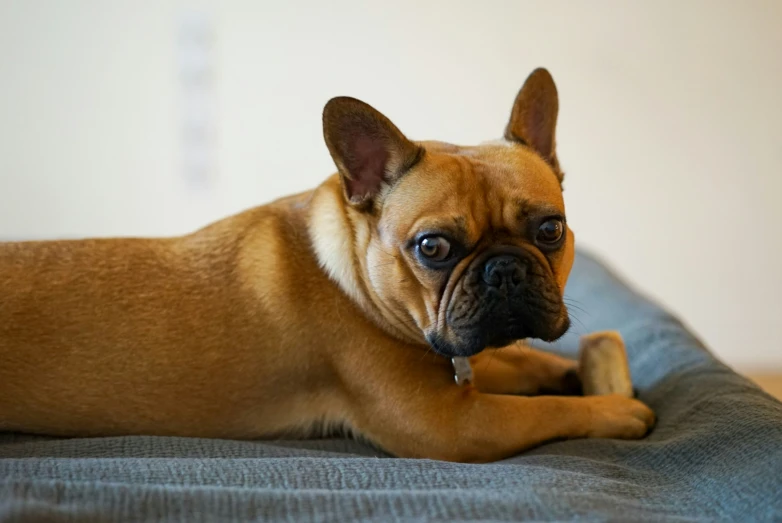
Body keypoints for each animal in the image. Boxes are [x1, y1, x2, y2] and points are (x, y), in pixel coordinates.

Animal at [0, 68, 656, 462]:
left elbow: (516, 362)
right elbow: (542, 410)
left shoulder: (461, 367)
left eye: (550, 230)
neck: (358, 282)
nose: (505, 270)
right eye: (433, 248)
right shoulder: (450, 424)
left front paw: (568, 370)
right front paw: (613, 408)